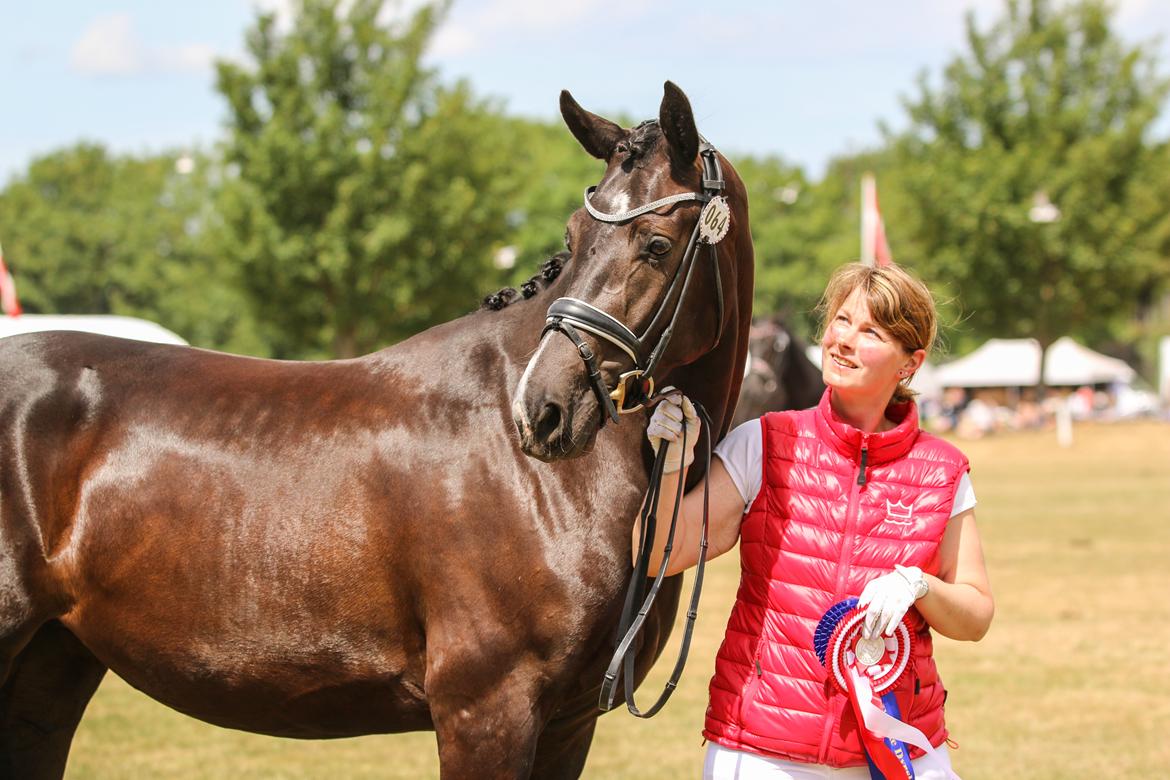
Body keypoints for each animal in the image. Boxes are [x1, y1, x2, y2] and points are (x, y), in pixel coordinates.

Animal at [0, 82, 753, 776]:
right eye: (573, 237)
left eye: (656, 244)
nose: (542, 409)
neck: (552, 487)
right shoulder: (488, 710)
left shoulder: (567, 725)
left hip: (49, 667)